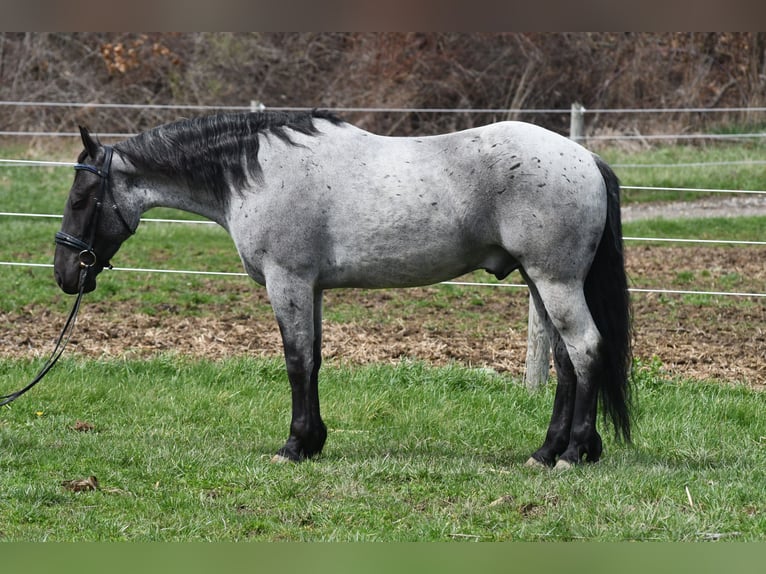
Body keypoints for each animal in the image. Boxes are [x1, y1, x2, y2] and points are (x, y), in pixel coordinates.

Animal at [53, 110, 632, 469]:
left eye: (81, 199)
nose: (64, 274)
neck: (259, 172)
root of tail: (585, 159)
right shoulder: (310, 288)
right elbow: (313, 360)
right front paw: (313, 441)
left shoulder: (287, 281)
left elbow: (294, 360)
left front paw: (293, 445)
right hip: (540, 281)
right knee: (565, 362)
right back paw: (548, 451)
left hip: (554, 282)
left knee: (585, 350)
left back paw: (572, 454)